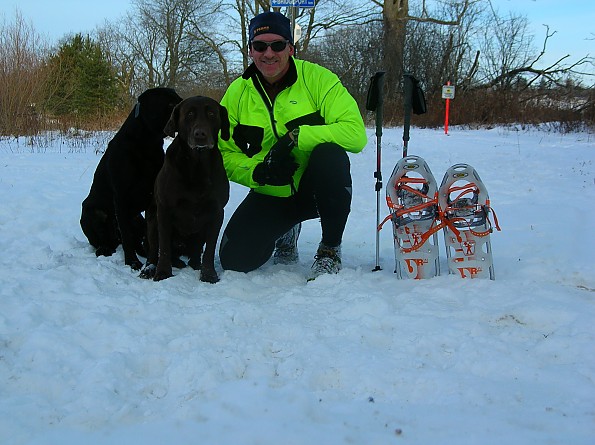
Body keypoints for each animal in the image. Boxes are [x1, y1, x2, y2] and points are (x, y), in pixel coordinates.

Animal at [81, 86, 183, 268]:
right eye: (171, 103)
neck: (146, 144)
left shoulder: (152, 199)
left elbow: (151, 235)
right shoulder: (121, 198)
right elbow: (127, 237)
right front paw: (132, 262)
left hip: (136, 218)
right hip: (94, 212)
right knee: (104, 240)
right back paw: (105, 249)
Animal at [141, 96, 232, 282]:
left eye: (211, 113)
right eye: (189, 114)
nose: (200, 134)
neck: (197, 166)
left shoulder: (217, 212)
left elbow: (210, 248)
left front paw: (208, 274)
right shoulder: (164, 209)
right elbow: (164, 247)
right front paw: (163, 272)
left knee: (196, 252)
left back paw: (195, 264)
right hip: (152, 220)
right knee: (154, 251)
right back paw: (150, 269)